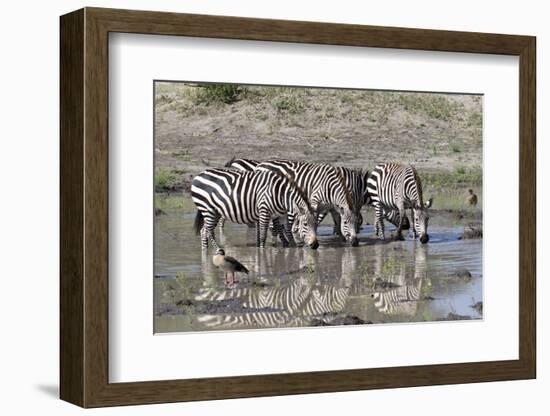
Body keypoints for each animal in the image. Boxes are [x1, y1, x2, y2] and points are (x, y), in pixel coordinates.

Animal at [192, 167, 320, 250]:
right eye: (305, 224)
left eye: (316, 224)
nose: (316, 245)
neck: (280, 194)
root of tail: (199, 174)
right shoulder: (264, 211)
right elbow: (263, 235)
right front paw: (262, 251)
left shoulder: (277, 214)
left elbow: (281, 230)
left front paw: (289, 246)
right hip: (208, 209)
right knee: (206, 231)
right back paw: (217, 251)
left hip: (215, 212)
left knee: (205, 231)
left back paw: (206, 251)